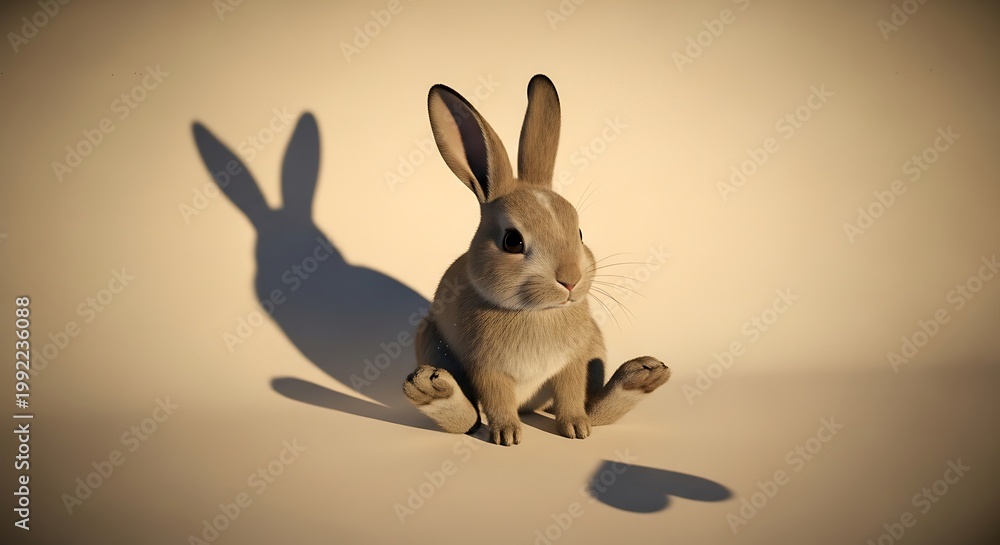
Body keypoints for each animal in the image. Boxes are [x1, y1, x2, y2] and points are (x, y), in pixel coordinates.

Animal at [403, 75, 671, 446]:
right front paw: (507, 435)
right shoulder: (487, 367)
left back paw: (643, 376)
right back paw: (431, 389)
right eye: (512, 241)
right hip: (429, 341)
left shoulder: (574, 362)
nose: (570, 279)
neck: (537, 313)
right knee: (468, 419)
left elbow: (571, 395)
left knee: (593, 406)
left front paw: (576, 430)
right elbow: (497, 399)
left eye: (579, 232)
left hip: (596, 348)